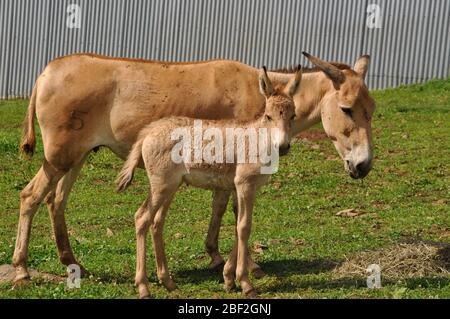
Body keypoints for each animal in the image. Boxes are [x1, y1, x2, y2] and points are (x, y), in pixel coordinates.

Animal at [116, 66, 302, 298]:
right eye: (268, 116)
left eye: (293, 116)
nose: (283, 147)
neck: (258, 141)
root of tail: (148, 132)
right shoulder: (245, 185)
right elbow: (244, 226)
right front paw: (245, 283)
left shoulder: (238, 188)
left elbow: (238, 225)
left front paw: (229, 278)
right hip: (161, 185)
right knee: (142, 218)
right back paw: (143, 286)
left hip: (170, 186)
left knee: (157, 222)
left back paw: (167, 281)